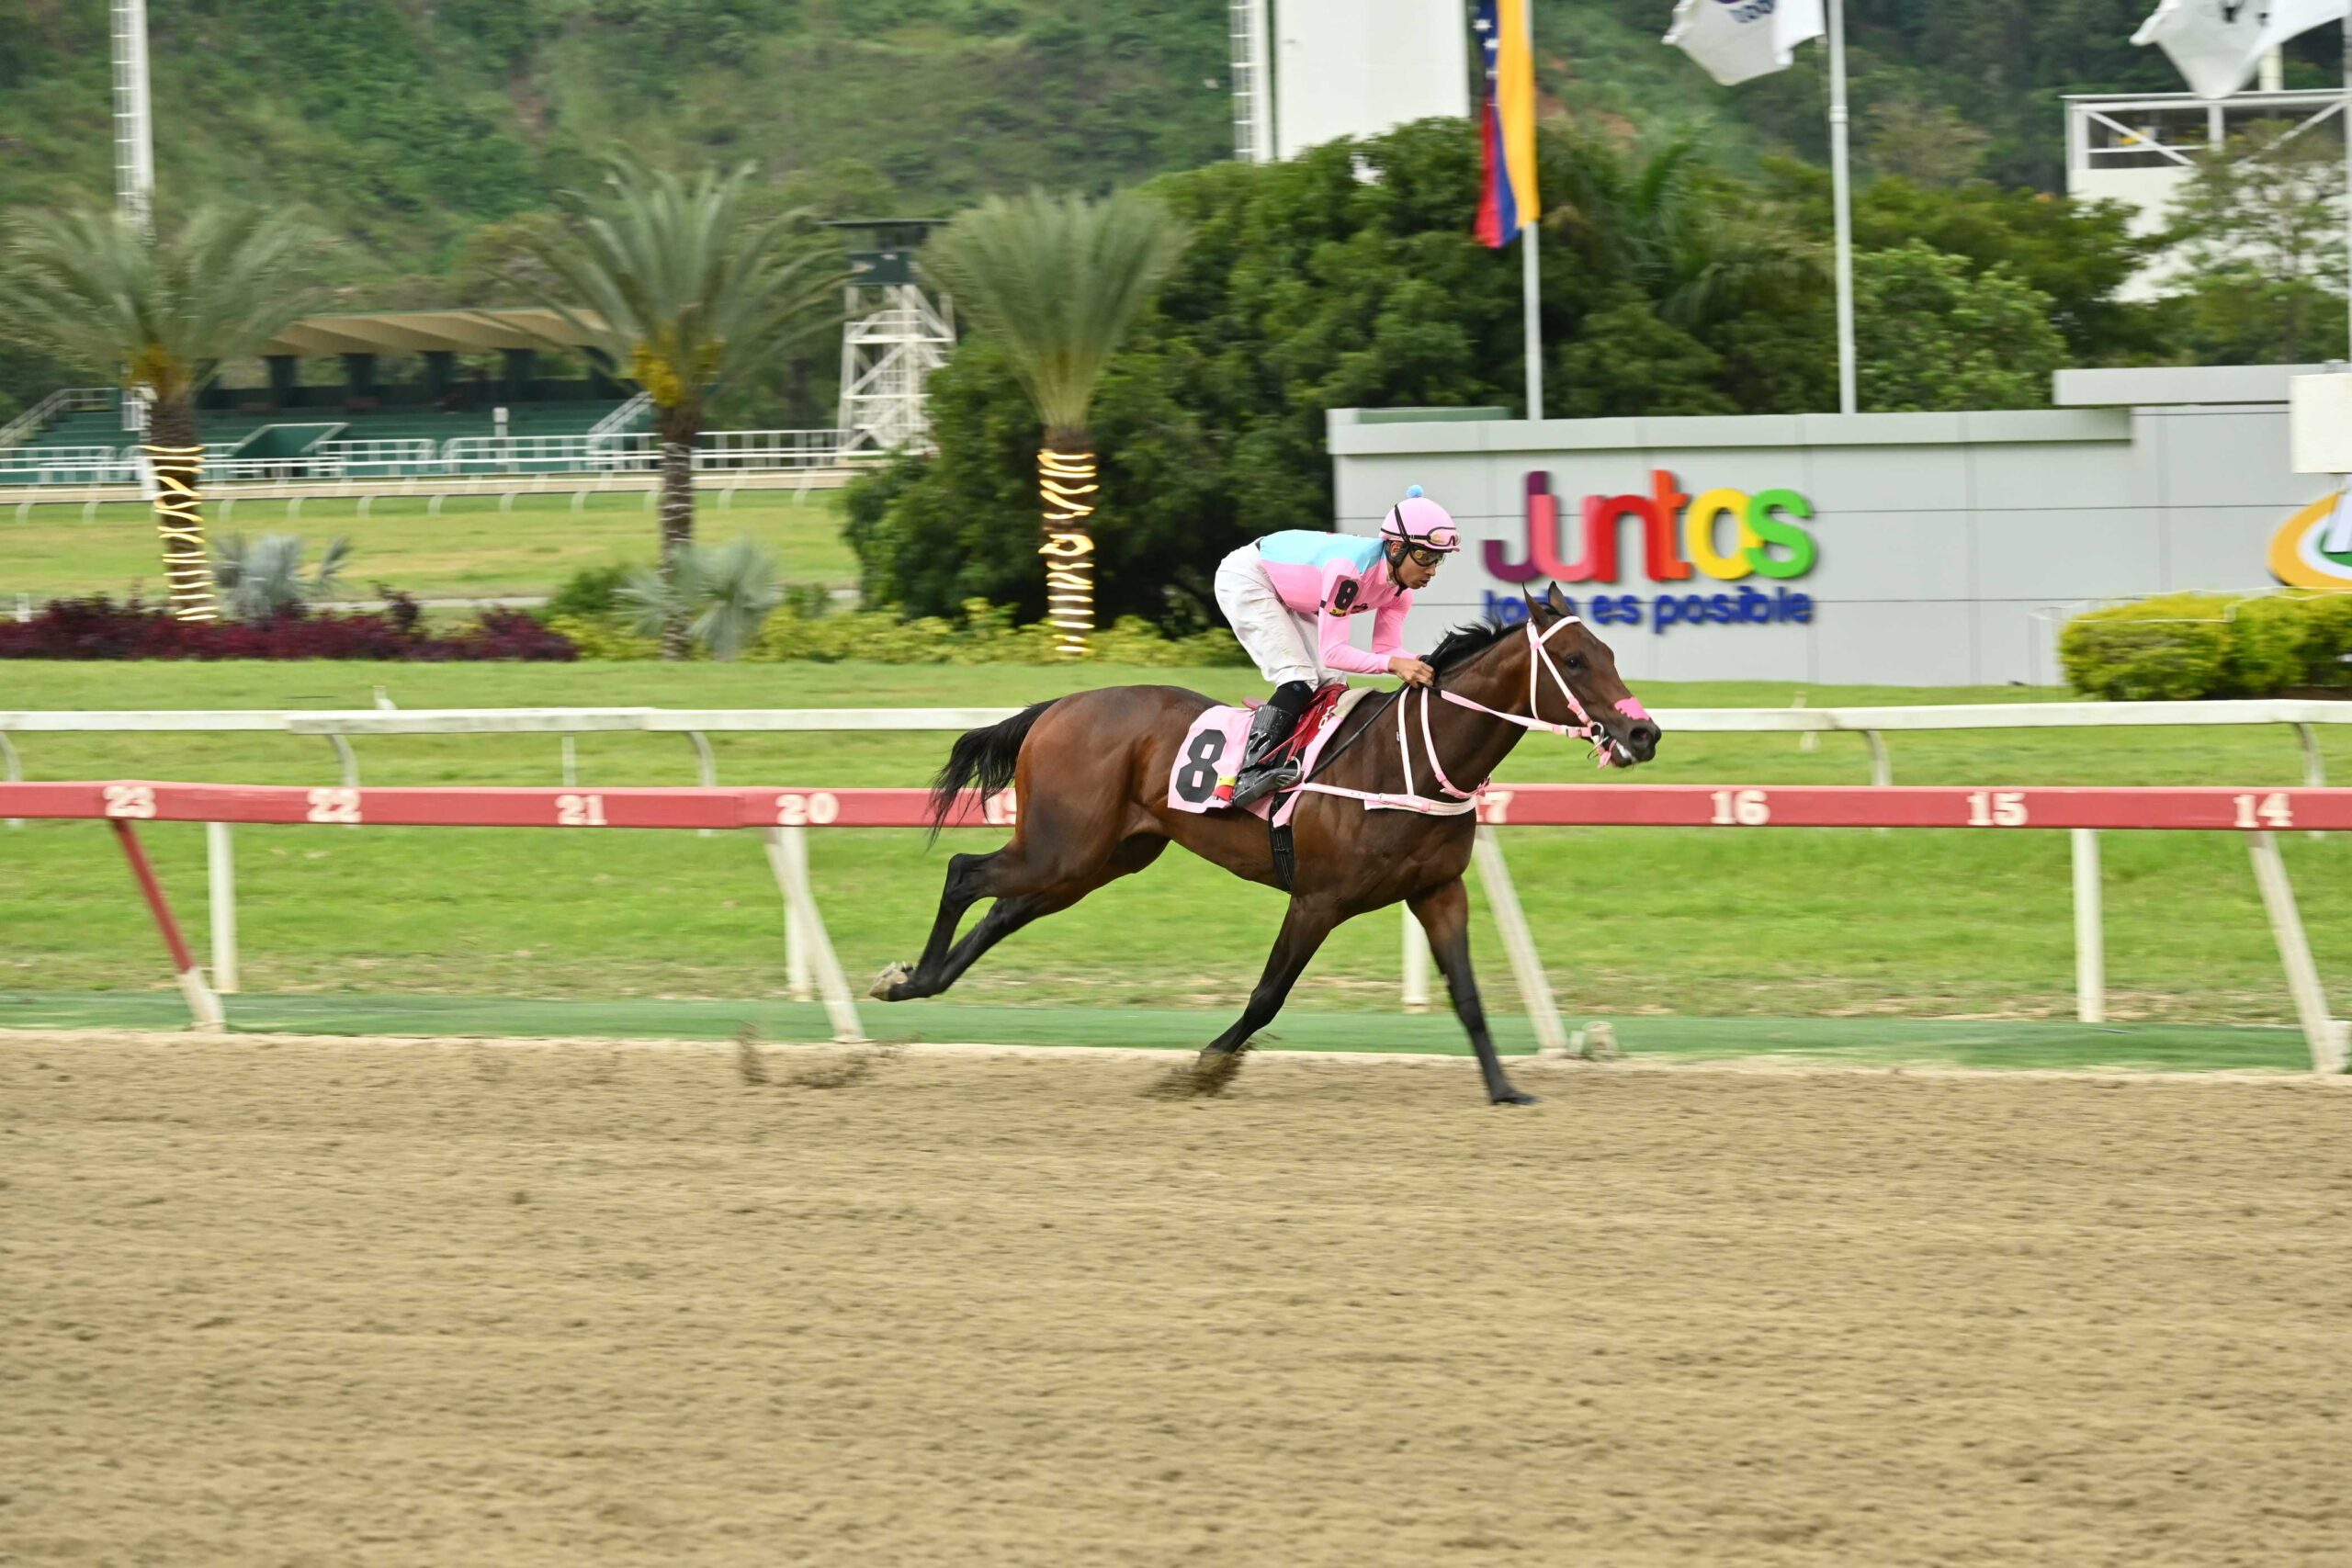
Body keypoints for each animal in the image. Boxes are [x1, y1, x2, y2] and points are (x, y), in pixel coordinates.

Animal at [869, 584, 1662, 1103]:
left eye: (1609, 650)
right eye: (1577, 662)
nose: (1643, 732)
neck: (1409, 760)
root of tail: (1059, 706)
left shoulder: (1438, 890)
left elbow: (1466, 994)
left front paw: (1504, 1088)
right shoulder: (1317, 899)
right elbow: (1267, 995)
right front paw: (1201, 1068)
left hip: (1094, 860)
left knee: (1005, 909)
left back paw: (921, 982)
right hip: (1061, 847)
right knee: (965, 872)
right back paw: (908, 977)